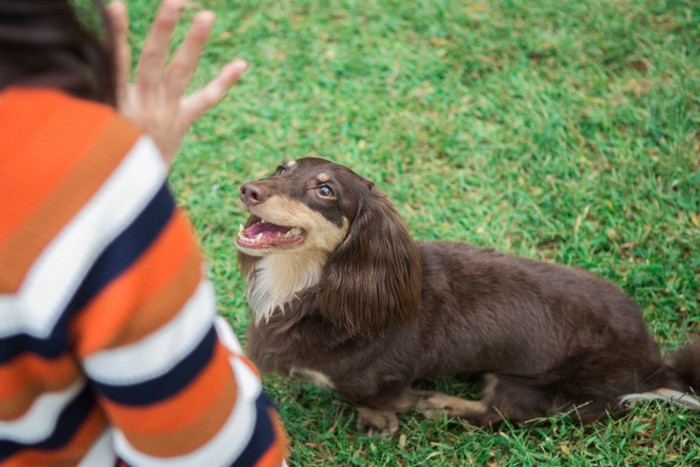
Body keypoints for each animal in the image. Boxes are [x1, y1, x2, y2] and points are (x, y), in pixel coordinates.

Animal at [237, 157, 700, 438]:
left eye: (326, 191)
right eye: (281, 167)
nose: (247, 189)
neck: (315, 289)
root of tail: (653, 364)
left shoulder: (374, 382)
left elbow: (371, 401)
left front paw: (380, 421)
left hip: (535, 390)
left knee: (496, 412)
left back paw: (443, 403)